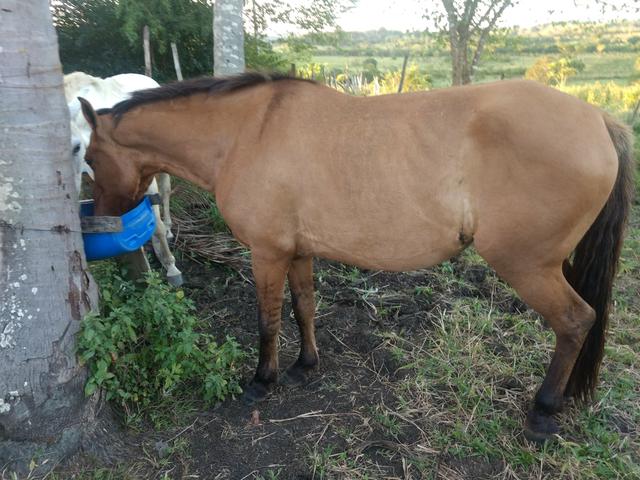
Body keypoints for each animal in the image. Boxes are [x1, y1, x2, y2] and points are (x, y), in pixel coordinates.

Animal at [77, 72, 634, 442]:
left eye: (88, 156)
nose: (101, 219)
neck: (247, 132)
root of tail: (598, 119)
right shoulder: (296, 252)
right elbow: (303, 307)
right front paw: (304, 366)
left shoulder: (266, 253)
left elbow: (266, 320)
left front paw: (262, 382)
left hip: (527, 267)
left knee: (575, 321)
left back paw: (543, 412)